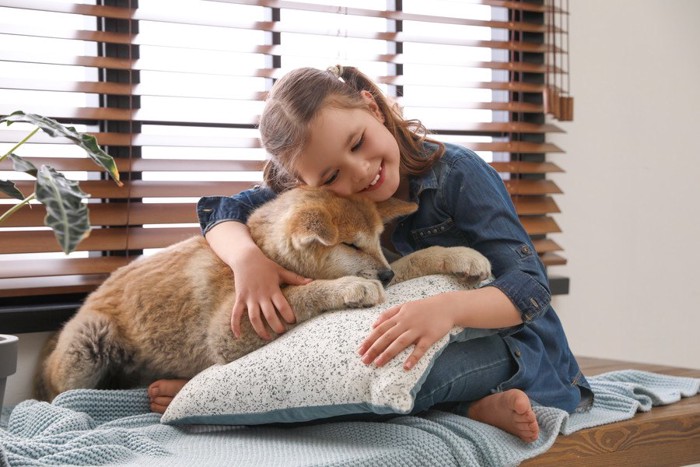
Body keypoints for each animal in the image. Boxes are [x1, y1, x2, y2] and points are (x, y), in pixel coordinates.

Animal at [34, 186, 492, 402]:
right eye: (351, 244)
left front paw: (458, 255)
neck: (270, 254)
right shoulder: (230, 329)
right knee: (63, 396)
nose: (383, 271)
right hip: (88, 341)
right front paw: (348, 287)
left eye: (379, 239)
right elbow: (299, 294)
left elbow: (417, 259)